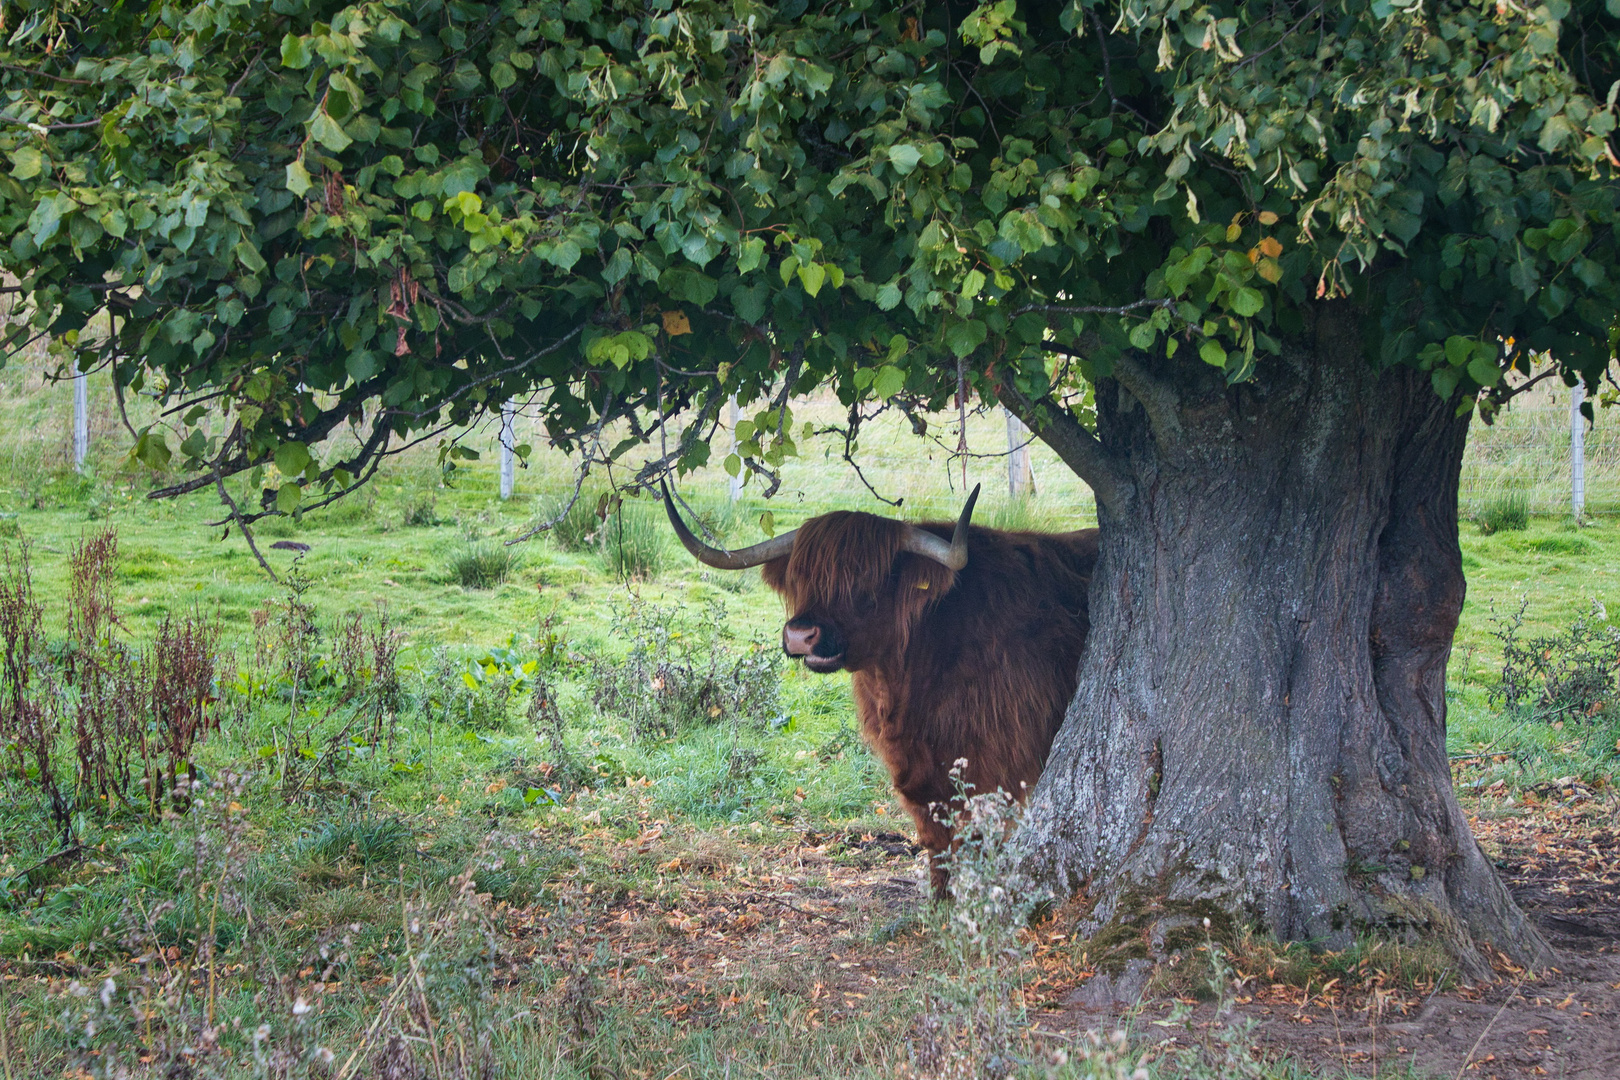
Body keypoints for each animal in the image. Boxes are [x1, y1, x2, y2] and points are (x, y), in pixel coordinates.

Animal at [660, 485, 1101, 893]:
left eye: (867, 584)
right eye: (801, 576)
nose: (800, 634)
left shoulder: (1002, 769)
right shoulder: (919, 773)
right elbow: (937, 846)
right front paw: (940, 908)